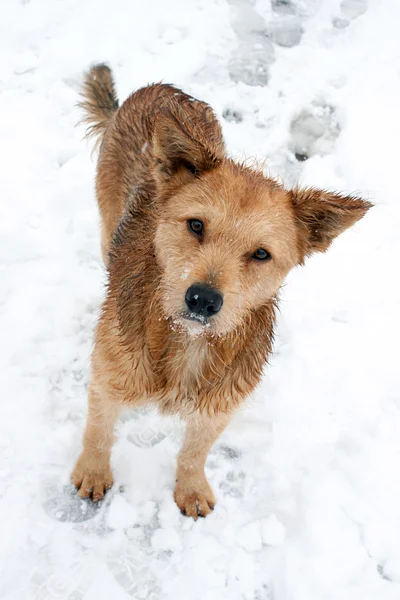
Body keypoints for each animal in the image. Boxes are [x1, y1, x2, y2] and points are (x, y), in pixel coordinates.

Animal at [71, 63, 372, 516]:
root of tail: (160, 89)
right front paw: (92, 471)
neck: (186, 341)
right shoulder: (109, 379)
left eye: (261, 254)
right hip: (108, 219)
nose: (203, 300)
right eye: (196, 225)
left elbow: (194, 452)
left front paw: (191, 488)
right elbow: (98, 430)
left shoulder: (219, 406)